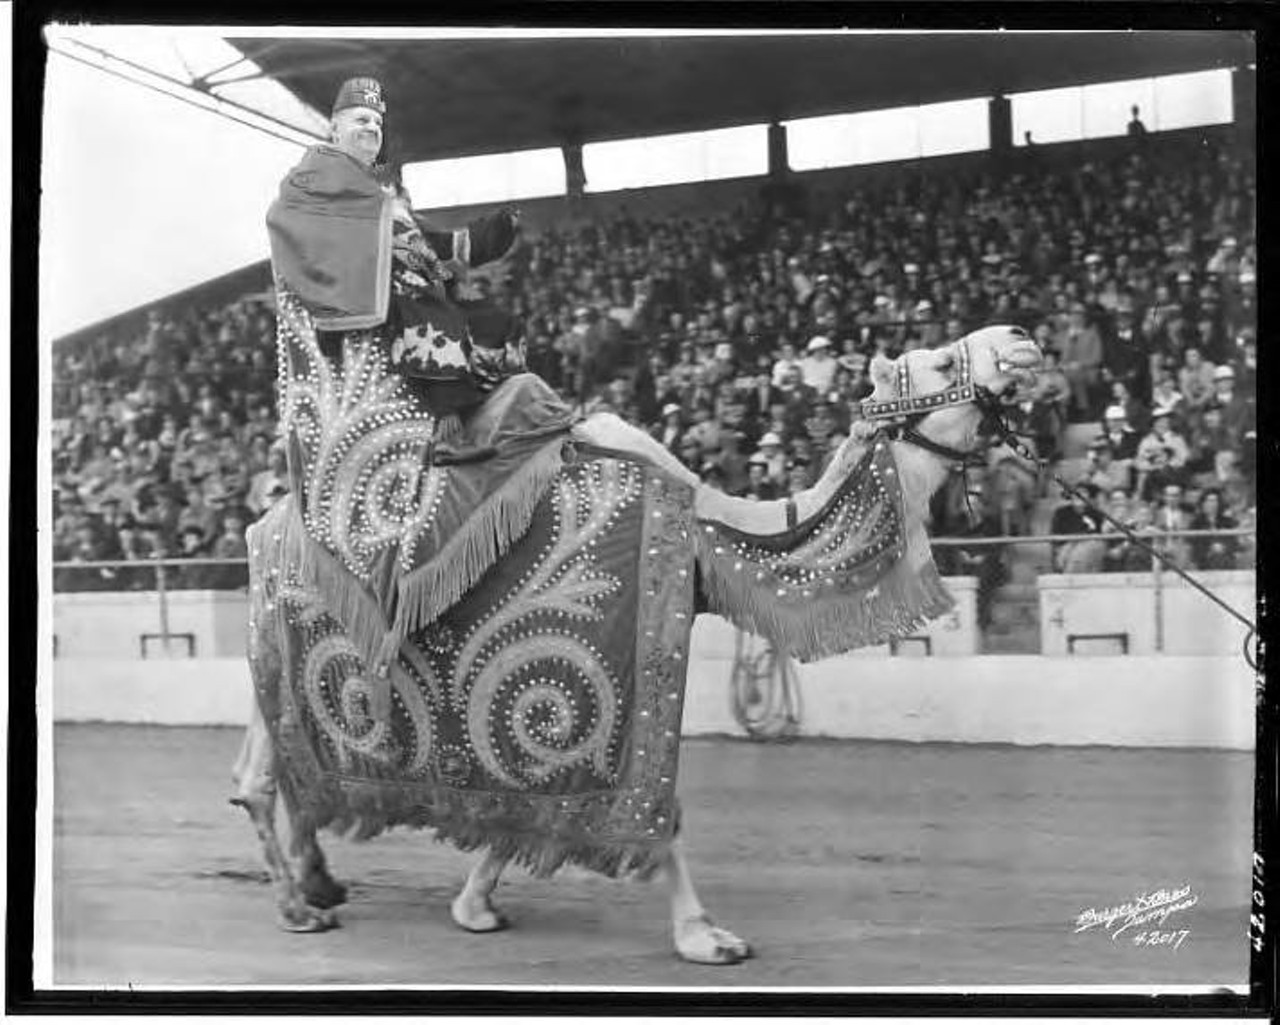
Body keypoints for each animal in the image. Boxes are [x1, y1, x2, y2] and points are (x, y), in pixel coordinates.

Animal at [235, 323, 1044, 962]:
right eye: (937, 363)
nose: (1022, 339)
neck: (709, 539)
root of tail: (265, 522)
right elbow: (660, 810)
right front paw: (706, 937)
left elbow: (537, 806)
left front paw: (477, 904)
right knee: (259, 778)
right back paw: (298, 907)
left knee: (277, 765)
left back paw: (318, 879)